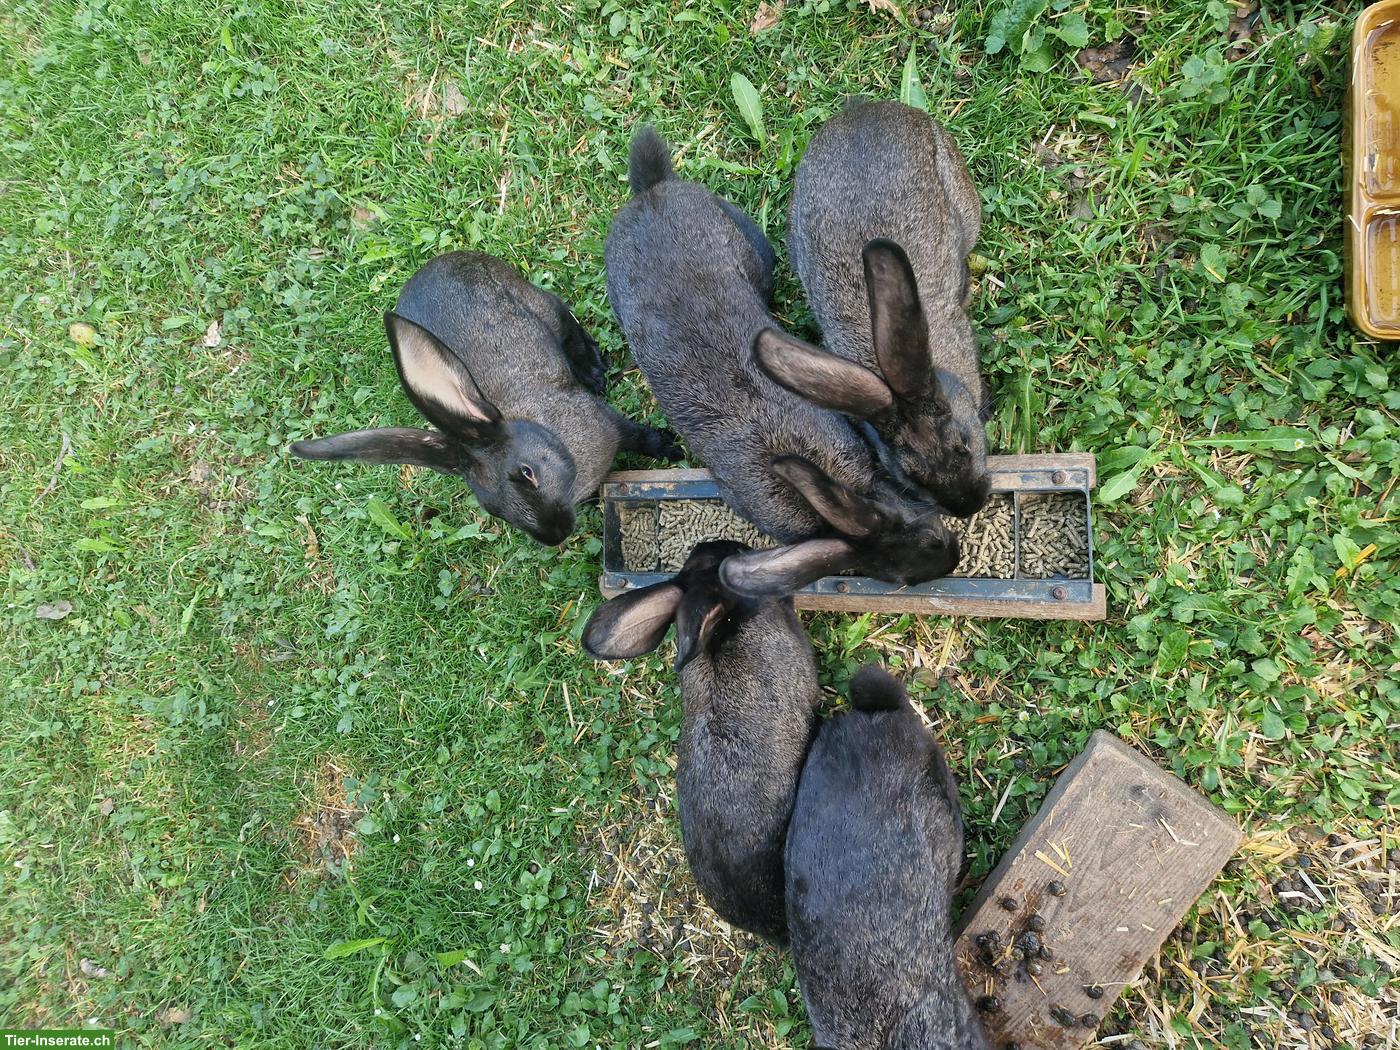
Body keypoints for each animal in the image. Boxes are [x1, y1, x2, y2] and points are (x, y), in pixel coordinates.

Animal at [290, 251, 681, 546]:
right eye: (492, 509)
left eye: (528, 473)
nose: (555, 535)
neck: (554, 439)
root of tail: (439, 261)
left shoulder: (606, 421)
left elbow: (638, 436)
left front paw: (671, 448)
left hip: (540, 305)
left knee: (566, 323)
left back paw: (593, 372)